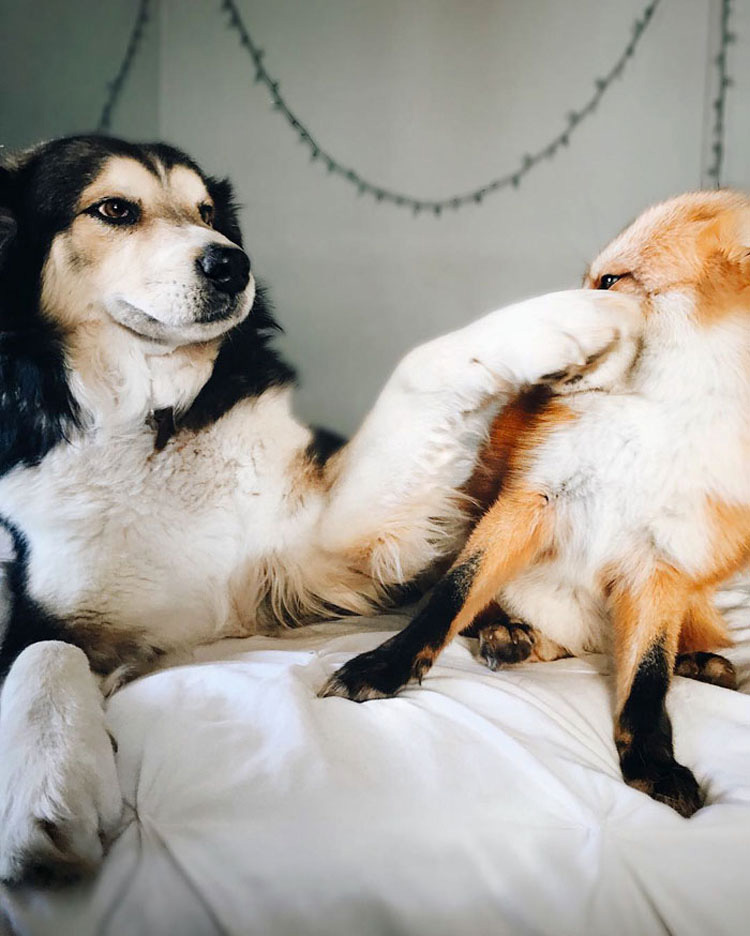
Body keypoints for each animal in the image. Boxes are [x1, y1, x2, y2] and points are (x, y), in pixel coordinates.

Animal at [0, 135, 640, 880]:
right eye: (112, 209)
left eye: (207, 211)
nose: (232, 263)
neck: (159, 422)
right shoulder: (46, 607)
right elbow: (41, 657)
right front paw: (50, 790)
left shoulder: (318, 548)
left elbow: (426, 364)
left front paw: (581, 314)